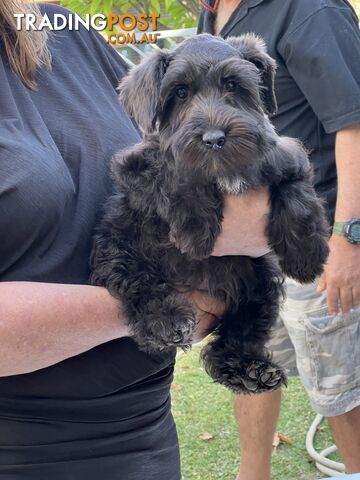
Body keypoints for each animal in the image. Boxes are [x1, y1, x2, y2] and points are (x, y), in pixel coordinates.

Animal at [91, 33, 330, 394]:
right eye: (180, 93)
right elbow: (174, 171)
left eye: (232, 85)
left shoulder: (284, 155)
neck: (224, 171)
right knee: (138, 284)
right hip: (120, 247)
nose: (215, 139)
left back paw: (252, 371)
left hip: (261, 282)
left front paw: (306, 255)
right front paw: (195, 228)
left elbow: (296, 189)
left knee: (234, 340)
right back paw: (166, 321)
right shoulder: (134, 167)